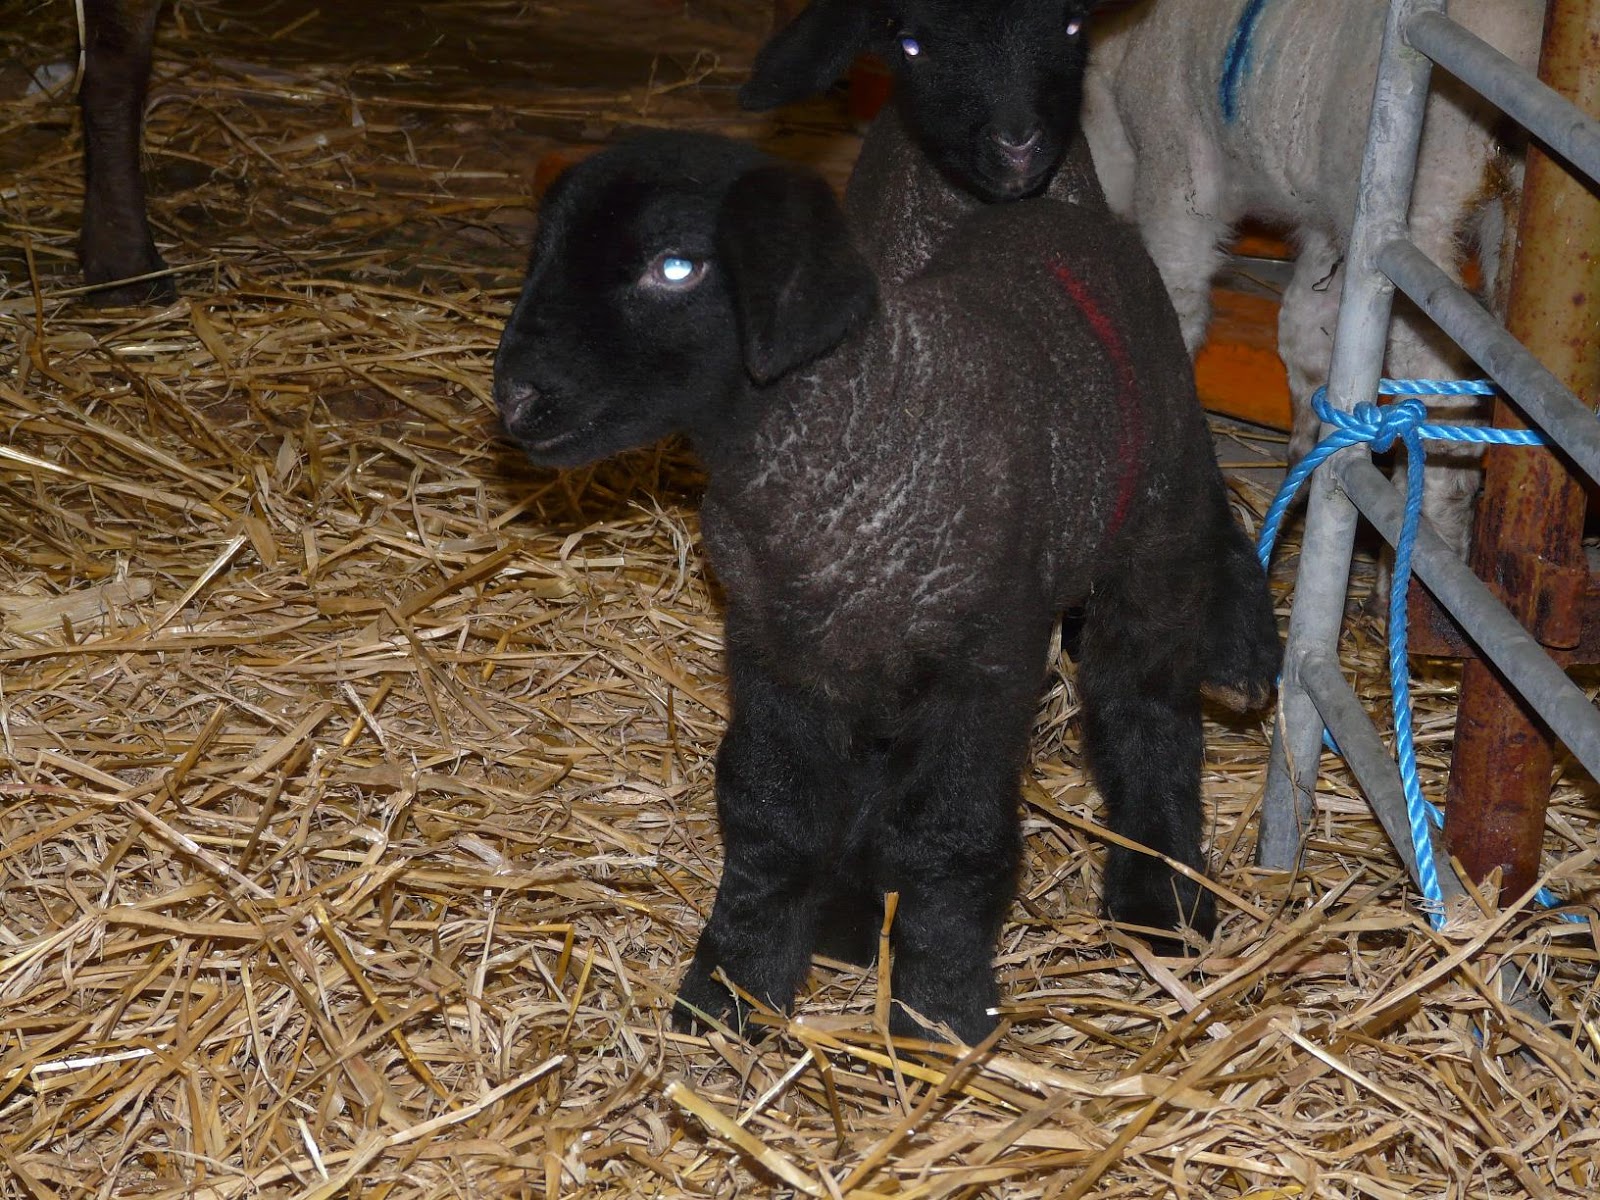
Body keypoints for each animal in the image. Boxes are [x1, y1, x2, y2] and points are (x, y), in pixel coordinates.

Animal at [493, 130, 1281, 1042]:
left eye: (677, 266)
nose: (515, 398)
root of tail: (1058, 214)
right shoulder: (776, 651)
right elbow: (770, 813)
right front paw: (733, 990)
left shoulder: (984, 665)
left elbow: (948, 835)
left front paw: (940, 1016)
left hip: (1149, 534)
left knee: (1143, 702)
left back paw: (1163, 898)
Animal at [1081, 0, 1544, 558]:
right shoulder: (1329, 219)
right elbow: (1305, 328)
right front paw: (1309, 450)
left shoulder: (1177, 171)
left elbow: (1178, 298)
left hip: (1422, 228)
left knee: (1443, 411)